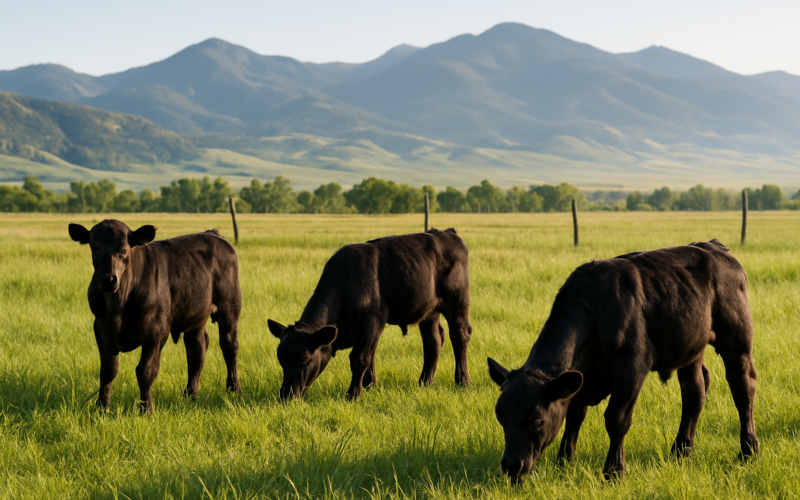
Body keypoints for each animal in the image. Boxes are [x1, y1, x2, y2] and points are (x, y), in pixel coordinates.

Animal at [68, 219, 241, 413]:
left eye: (123, 251)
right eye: (95, 251)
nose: (108, 279)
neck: (119, 305)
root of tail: (212, 234)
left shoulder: (156, 330)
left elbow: (146, 371)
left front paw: (146, 409)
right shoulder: (101, 327)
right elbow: (108, 370)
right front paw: (102, 408)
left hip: (230, 307)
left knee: (229, 346)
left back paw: (234, 389)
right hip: (195, 316)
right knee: (196, 351)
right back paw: (190, 395)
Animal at [268, 228, 472, 400]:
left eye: (305, 359)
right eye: (281, 358)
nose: (286, 395)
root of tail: (446, 233)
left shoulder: (371, 322)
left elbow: (359, 359)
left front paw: (353, 394)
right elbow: (370, 356)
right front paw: (370, 387)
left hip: (458, 301)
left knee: (460, 336)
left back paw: (462, 381)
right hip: (429, 311)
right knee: (433, 341)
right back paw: (425, 382)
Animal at [488, 240, 758, 483]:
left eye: (537, 421)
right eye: (501, 417)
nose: (511, 465)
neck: (595, 312)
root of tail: (714, 247)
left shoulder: (632, 368)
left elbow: (616, 419)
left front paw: (614, 471)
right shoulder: (580, 379)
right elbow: (575, 414)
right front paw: (565, 460)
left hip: (737, 341)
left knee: (743, 387)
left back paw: (749, 449)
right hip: (690, 349)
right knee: (695, 392)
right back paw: (681, 451)